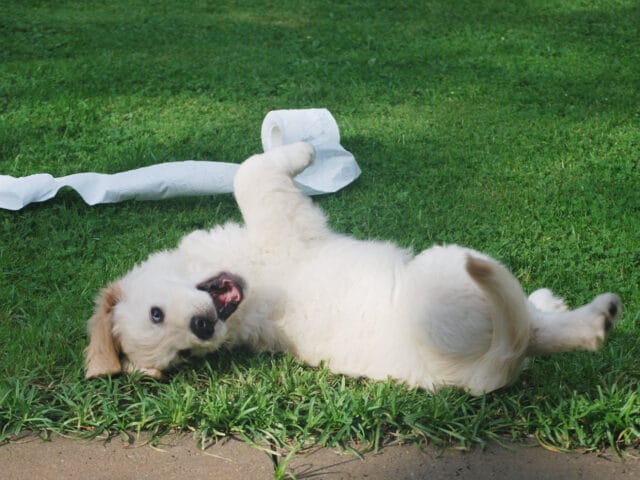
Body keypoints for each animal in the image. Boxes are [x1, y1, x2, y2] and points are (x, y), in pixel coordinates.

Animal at [84, 142, 620, 394]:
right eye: (184, 354)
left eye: (156, 314)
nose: (202, 330)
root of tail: (480, 374)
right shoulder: (281, 219)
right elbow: (250, 172)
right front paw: (304, 152)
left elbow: (249, 170)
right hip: (449, 272)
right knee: (532, 328)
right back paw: (595, 319)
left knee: (534, 323)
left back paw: (556, 303)